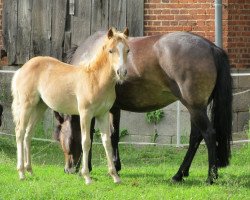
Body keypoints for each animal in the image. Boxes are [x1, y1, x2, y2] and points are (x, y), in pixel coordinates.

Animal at [11, 27, 129, 184]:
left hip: (39, 107)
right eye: (111, 50)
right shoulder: (85, 114)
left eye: (127, 50)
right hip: (26, 105)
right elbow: (86, 142)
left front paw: (115, 176)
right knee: (20, 132)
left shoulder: (103, 114)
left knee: (28, 134)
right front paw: (86, 176)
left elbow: (107, 142)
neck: (95, 79)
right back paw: (21, 173)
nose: (122, 72)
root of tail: (22, 69)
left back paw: (30, 170)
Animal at [54, 30, 232, 183]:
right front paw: (116, 166)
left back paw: (210, 177)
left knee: (208, 134)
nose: (67, 169)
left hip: (195, 108)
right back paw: (179, 174)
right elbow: (113, 135)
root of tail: (211, 47)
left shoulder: (91, 109)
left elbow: (88, 136)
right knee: (195, 137)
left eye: (60, 138)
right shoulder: (113, 108)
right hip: (196, 108)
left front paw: (86, 169)